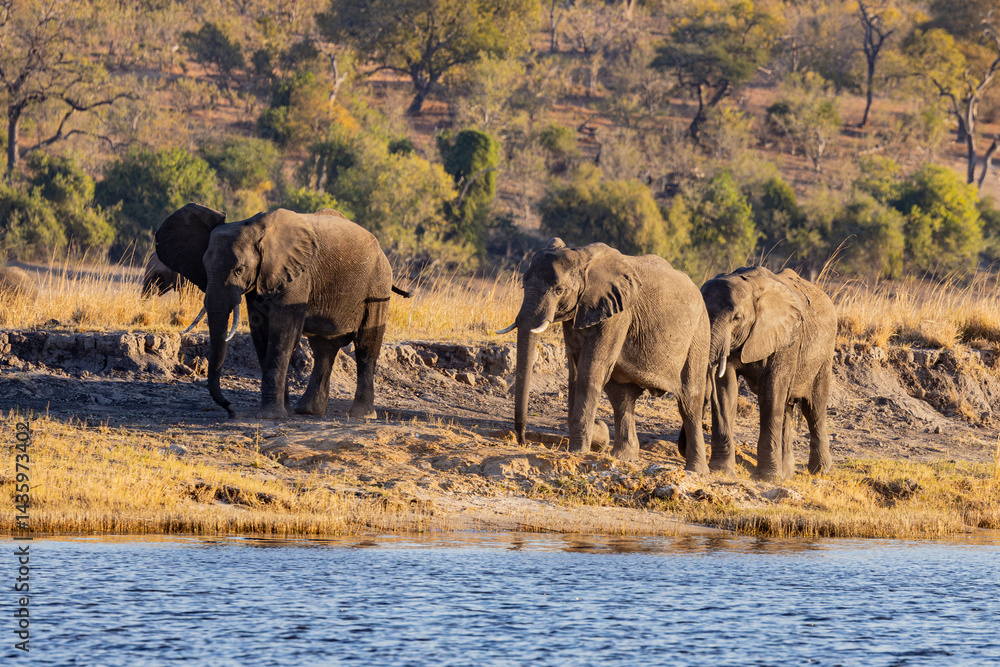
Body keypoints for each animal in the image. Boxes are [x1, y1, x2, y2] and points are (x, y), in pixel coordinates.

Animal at [155, 203, 410, 420]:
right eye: (205, 268)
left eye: (239, 270)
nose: (232, 410)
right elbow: (261, 332)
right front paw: (282, 412)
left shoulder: (297, 275)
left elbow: (282, 332)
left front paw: (271, 416)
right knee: (324, 348)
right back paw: (308, 412)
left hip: (378, 282)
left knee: (366, 345)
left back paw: (361, 416)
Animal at [497, 238, 711, 472]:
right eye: (523, 285)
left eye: (559, 290)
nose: (523, 441)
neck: (583, 258)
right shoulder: (579, 313)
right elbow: (575, 371)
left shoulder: (618, 314)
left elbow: (590, 370)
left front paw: (577, 451)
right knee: (621, 397)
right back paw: (624, 457)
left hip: (699, 334)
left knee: (690, 401)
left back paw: (695, 470)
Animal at [697, 265, 836, 481]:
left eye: (737, 318)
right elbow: (726, 391)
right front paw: (721, 470)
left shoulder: (787, 340)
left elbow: (771, 393)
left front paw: (767, 477)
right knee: (787, 408)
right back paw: (786, 474)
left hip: (823, 354)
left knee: (814, 408)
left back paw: (820, 471)